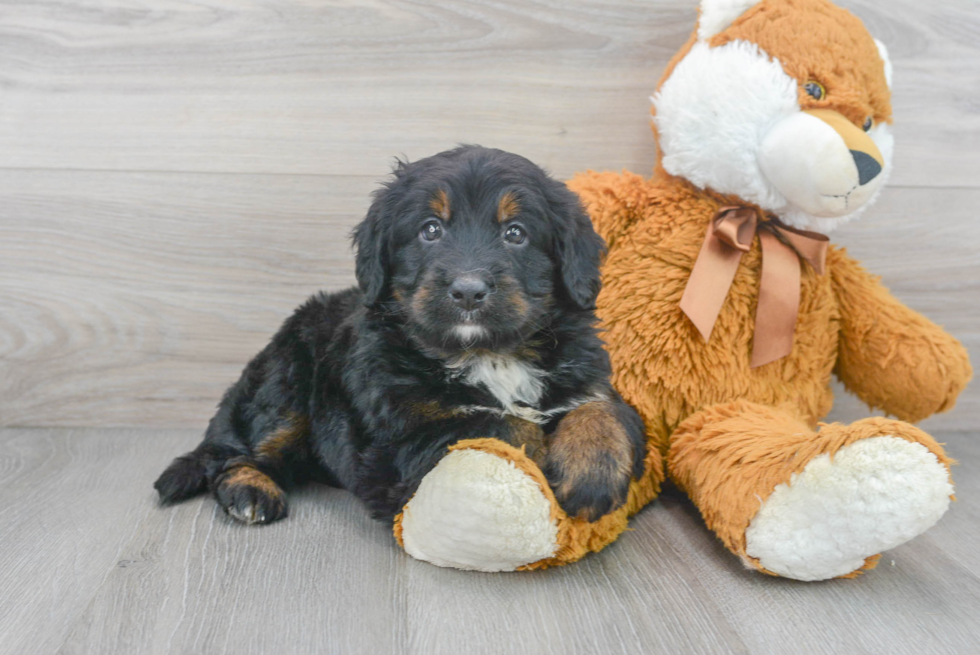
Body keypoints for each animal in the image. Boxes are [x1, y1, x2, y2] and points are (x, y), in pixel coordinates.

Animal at [155, 145, 644, 528]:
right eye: (430, 229)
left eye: (515, 233)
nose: (469, 290)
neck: (487, 353)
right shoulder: (396, 450)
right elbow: (499, 422)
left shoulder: (588, 375)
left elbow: (600, 407)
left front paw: (593, 468)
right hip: (286, 382)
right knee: (240, 452)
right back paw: (250, 491)